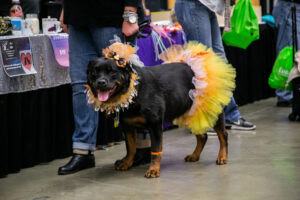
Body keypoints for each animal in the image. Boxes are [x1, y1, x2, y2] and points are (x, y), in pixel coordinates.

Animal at [85, 42, 236, 178]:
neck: (133, 90)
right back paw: (195, 155)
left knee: (223, 135)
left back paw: (222, 156)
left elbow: (155, 150)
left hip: (211, 110)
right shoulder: (127, 126)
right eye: (94, 72)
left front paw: (153, 169)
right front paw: (127, 162)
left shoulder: (155, 124)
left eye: (112, 72)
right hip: (189, 111)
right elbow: (131, 147)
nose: (101, 82)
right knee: (202, 136)